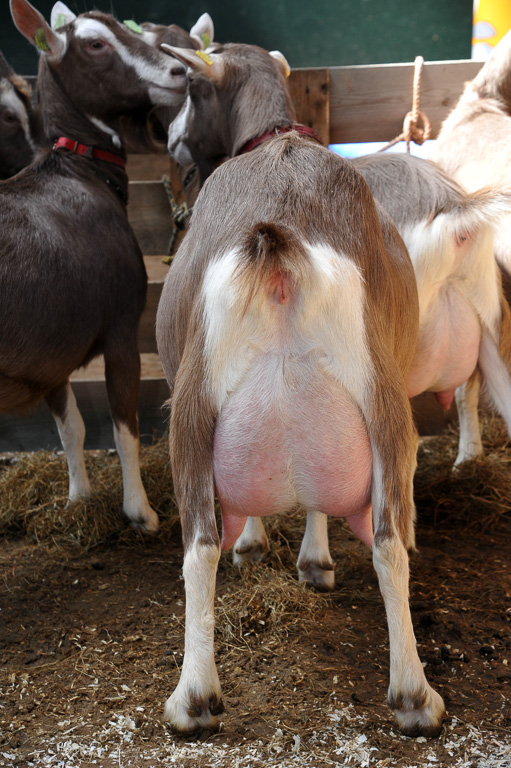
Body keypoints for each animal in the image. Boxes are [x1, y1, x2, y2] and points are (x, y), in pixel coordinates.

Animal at [155, 42, 444, 736]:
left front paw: (258, 545)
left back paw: (193, 698)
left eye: (189, 89)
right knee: (388, 540)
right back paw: (414, 695)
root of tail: (281, 243)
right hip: (380, 406)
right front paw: (312, 561)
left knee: (199, 546)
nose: (170, 140)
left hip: (193, 409)